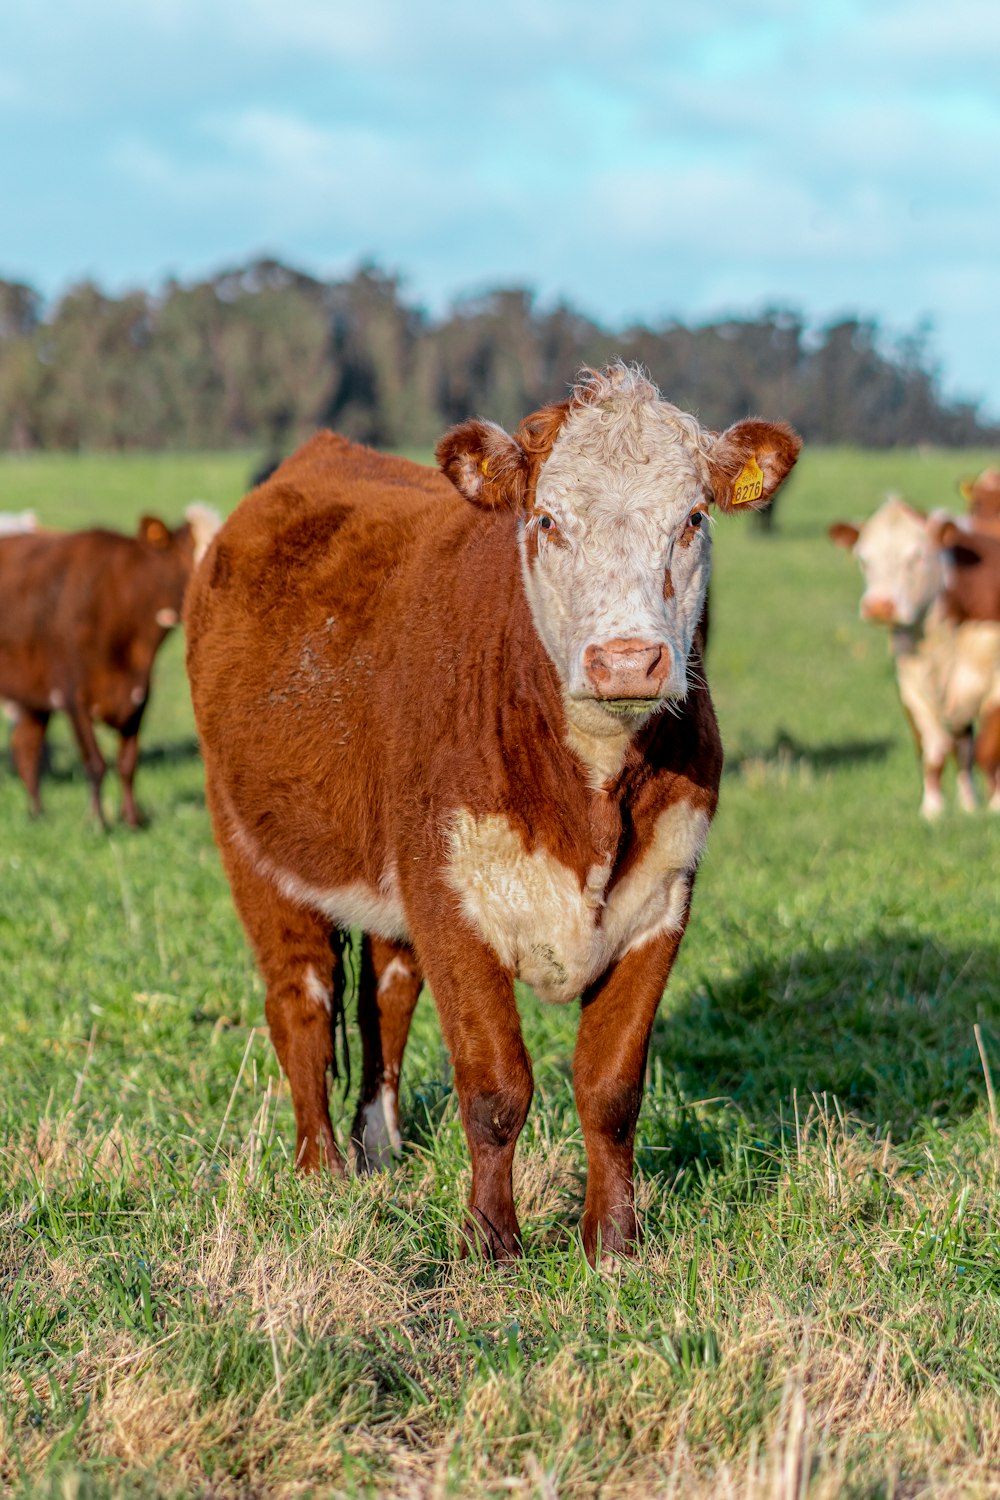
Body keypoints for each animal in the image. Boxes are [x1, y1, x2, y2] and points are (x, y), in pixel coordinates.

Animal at [0, 510, 218, 828]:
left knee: (25, 748)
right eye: (190, 555)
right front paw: (99, 822)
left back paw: (37, 814)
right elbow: (95, 762)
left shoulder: (139, 697)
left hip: (32, 697)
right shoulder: (73, 697)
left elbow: (127, 764)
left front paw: (133, 821)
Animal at [185, 369, 797, 1260]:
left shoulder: (662, 897)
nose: (626, 661)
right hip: (254, 848)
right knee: (303, 1000)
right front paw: (491, 1244)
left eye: (693, 518)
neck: (590, 797)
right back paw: (321, 1170)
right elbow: (495, 1085)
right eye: (547, 519)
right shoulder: (450, 899)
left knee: (387, 994)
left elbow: (611, 1086)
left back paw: (380, 1147)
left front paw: (614, 1242)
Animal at [827, 498, 1000, 816]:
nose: (879, 605)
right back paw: (968, 805)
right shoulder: (911, 682)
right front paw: (933, 811)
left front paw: (996, 806)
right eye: (863, 559)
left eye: (917, 556)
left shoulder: (995, 682)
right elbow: (933, 749)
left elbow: (989, 750)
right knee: (961, 746)